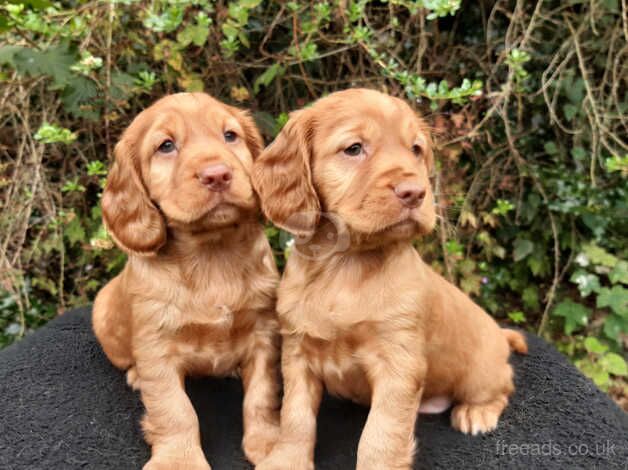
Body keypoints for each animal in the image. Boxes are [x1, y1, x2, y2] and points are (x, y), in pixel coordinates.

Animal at [93, 92, 280, 470]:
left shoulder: (264, 332)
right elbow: (174, 409)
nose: (217, 175)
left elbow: (262, 394)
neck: (212, 255)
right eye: (166, 146)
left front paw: (269, 444)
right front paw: (178, 460)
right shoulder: (157, 346)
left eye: (230, 136)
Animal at [250, 89, 524, 470]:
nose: (415, 192)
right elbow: (295, 417)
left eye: (416, 149)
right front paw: (286, 461)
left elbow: (380, 435)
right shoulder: (297, 352)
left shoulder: (399, 362)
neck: (345, 267)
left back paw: (476, 413)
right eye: (354, 148)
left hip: (482, 371)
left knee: (503, 387)